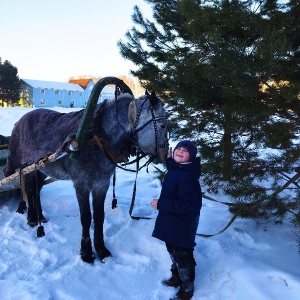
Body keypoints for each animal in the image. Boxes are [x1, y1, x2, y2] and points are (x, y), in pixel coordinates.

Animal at [3, 91, 169, 262]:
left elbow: (99, 216)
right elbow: (86, 217)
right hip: (27, 168)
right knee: (29, 190)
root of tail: (19, 121)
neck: (97, 140)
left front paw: (101, 249)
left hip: (42, 169)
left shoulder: (101, 185)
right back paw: (31, 218)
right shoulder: (81, 185)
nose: (165, 155)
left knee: (36, 191)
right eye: (163, 125)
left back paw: (40, 216)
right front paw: (87, 252)